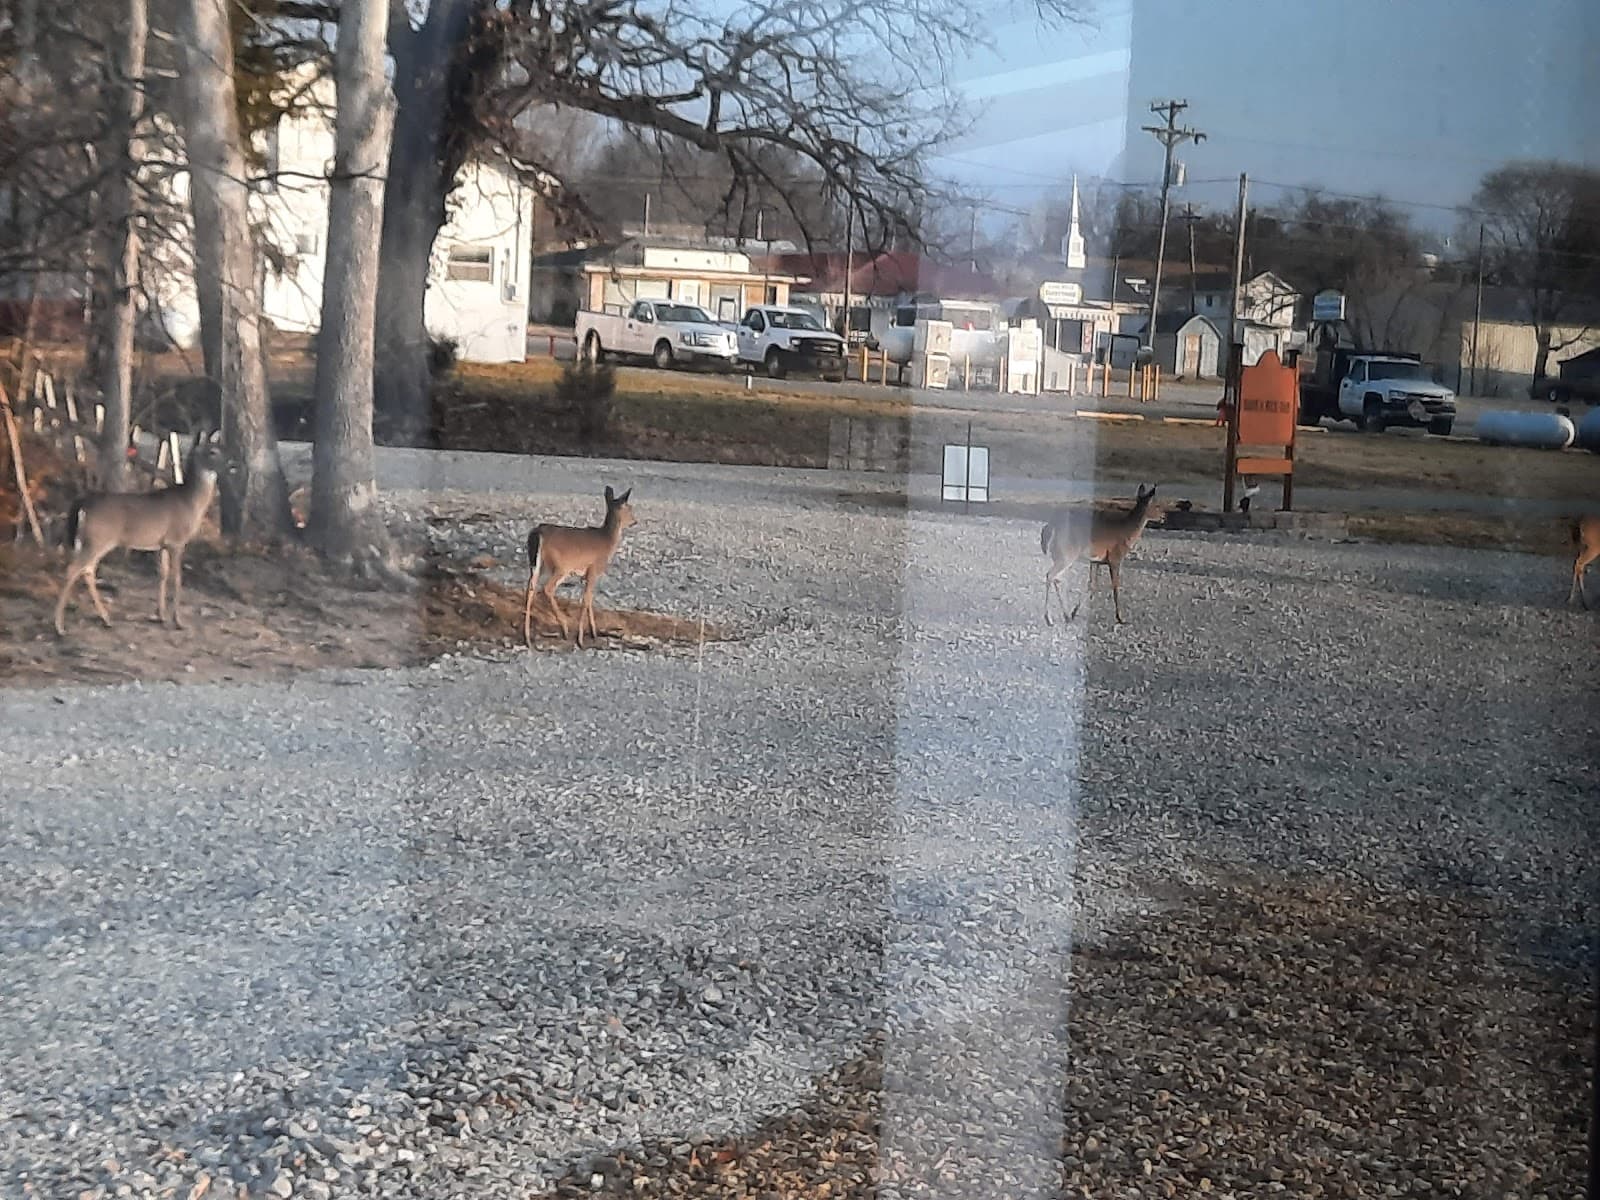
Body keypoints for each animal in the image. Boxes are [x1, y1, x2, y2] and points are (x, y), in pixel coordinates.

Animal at [54, 430, 224, 636]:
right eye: (213, 452)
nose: (232, 464)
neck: (191, 502)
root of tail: (83, 503)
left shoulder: (163, 543)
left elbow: (163, 574)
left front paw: (160, 615)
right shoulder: (177, 541)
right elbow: (177, 578)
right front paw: (179, 621)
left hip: (91, 540)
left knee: (87, 570)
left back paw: (106, 619)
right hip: (98, 538)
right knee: (74, 569)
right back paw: (60, 626)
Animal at [522, 486, 636, 648]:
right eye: (630, 508)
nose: (635, 521)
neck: (607, 541)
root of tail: (538, 533)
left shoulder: (587, 574)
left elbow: (590, 599)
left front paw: (593, 632)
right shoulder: (593, 569)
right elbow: (586, 599)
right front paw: (581, 639)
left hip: (536, 564)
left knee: (530, 588)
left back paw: (527, 638)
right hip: (561, 566)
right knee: (547, 588)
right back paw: (564, 628)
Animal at [1041, 484, 1158, 627]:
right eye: (1155, 504)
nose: (1163, 516)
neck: (1127, 532)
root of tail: (1050, 528)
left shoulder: (1096, 561)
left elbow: (1092, 585)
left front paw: (1075, 612)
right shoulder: (1115, 558)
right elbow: (1115, 586)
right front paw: (1121, 618)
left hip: (1061, 556)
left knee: (1056, 578)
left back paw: (1066, 616)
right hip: (1065, 555)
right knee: (1050, 575)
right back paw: (1049, 618)